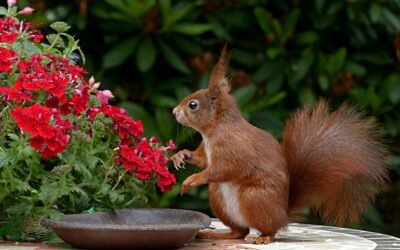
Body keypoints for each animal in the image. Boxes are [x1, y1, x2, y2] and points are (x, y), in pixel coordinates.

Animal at [171, 46, 388, 243]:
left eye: (193, 105)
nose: (174, 112)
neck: (214, 130)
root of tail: (284, 214)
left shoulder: (233, 148)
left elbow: (224, 168)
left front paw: (192, 179)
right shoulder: (208, 151)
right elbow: (202, 160)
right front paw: (181, 155)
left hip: (254, 198)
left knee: (268, 229)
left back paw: (263, 238)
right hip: (218, 197)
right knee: (239, 231)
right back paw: (216, 234)